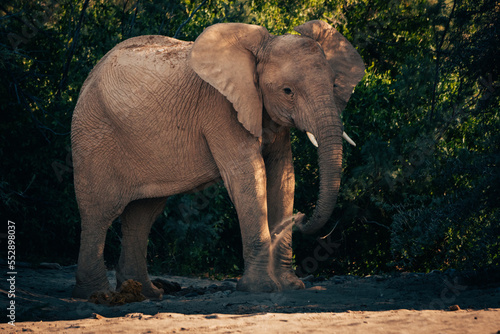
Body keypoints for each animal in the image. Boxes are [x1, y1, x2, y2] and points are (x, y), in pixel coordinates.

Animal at [71, 20, 364, 300]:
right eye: (287, 91)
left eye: (334, 85)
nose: (301, 218)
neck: (259, 49)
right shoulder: (220, 108)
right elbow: (249, 175)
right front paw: (262, 289)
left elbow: (283, 177)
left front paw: (291, 286)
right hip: (93, 136)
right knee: (99, 212)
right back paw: (98, 294)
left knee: (143, 213)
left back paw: (146, 293)